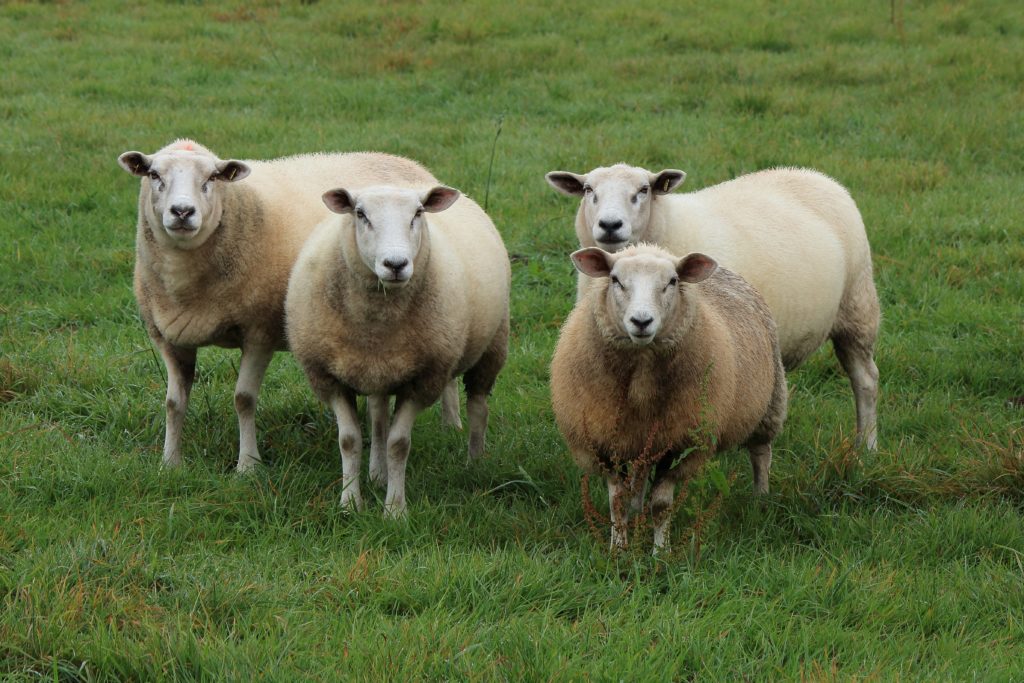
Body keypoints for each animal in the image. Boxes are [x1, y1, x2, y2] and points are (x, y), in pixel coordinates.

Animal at [117, 138, 448, 471]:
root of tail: (409, 163)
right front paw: (170, 462)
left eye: (211, 178)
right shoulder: (169, 337)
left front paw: (248, 465)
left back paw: (452, 427)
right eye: (154, 175)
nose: (183, 211)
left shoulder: (260, 332)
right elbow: (174, 403)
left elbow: (244, 399)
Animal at [284, 184, 512, 516]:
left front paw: (394, 510)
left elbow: (399, 444)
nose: (395, 265)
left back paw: (475, 463)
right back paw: (377, 473)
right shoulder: (328, 376)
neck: (376, 323)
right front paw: (350, 503)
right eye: (360, 214)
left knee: (479, 407)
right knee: (378, 416)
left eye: (418, 213)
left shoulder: (424, 379)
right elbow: (349, 440)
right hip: (379, 369)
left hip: (493, 345)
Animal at [544, 163, 880, 450]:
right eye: (588, 189)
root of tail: (815, 175)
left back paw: (866, 447)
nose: (610, 224)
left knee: (865, 380)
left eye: (644, 189)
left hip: (857, 308)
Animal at [552, 242, 782, 552]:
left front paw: (660, 552)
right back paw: (637, 507)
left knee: (760, 454)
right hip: (644, 437)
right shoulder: (603, 441)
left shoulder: (685, 442)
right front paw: (618, 549)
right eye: (615, 280)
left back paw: (761, 499)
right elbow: (617, 500)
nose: (641, 321)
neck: (641, 383)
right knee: (639, 474)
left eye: (672, 281)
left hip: (770, 404)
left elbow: (661, 504)